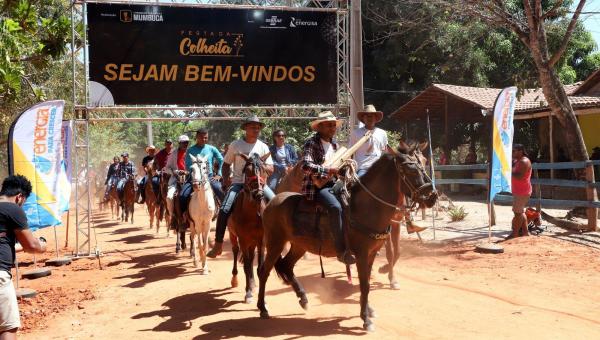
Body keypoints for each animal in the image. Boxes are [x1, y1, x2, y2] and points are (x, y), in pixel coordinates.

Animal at [227, 153, 270, 304]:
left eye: (265, 170)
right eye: (247, 170)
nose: (258, 194)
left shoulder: (262, 240)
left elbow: (260, 267)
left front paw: (261, 296)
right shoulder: (243, 240)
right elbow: (246, 266)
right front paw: (249, 294)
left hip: (253, 242)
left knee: (251, 259)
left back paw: (253, 283)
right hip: (233, 235)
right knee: (235, 251)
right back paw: (235, 279)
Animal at [256, 144, 436, 332]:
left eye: (423, 164)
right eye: (410, 169)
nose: (433, 196)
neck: (366, 207)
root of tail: (271, 202)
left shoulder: (371, 253)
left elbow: (366, 282)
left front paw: (368, 310)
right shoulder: (361, 254)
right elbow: (364, 284)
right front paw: (366, 319)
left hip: (299, 246)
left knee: (286, 266)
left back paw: (303, 299)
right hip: (275, 242)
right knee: (264, 271)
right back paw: (263, 308)